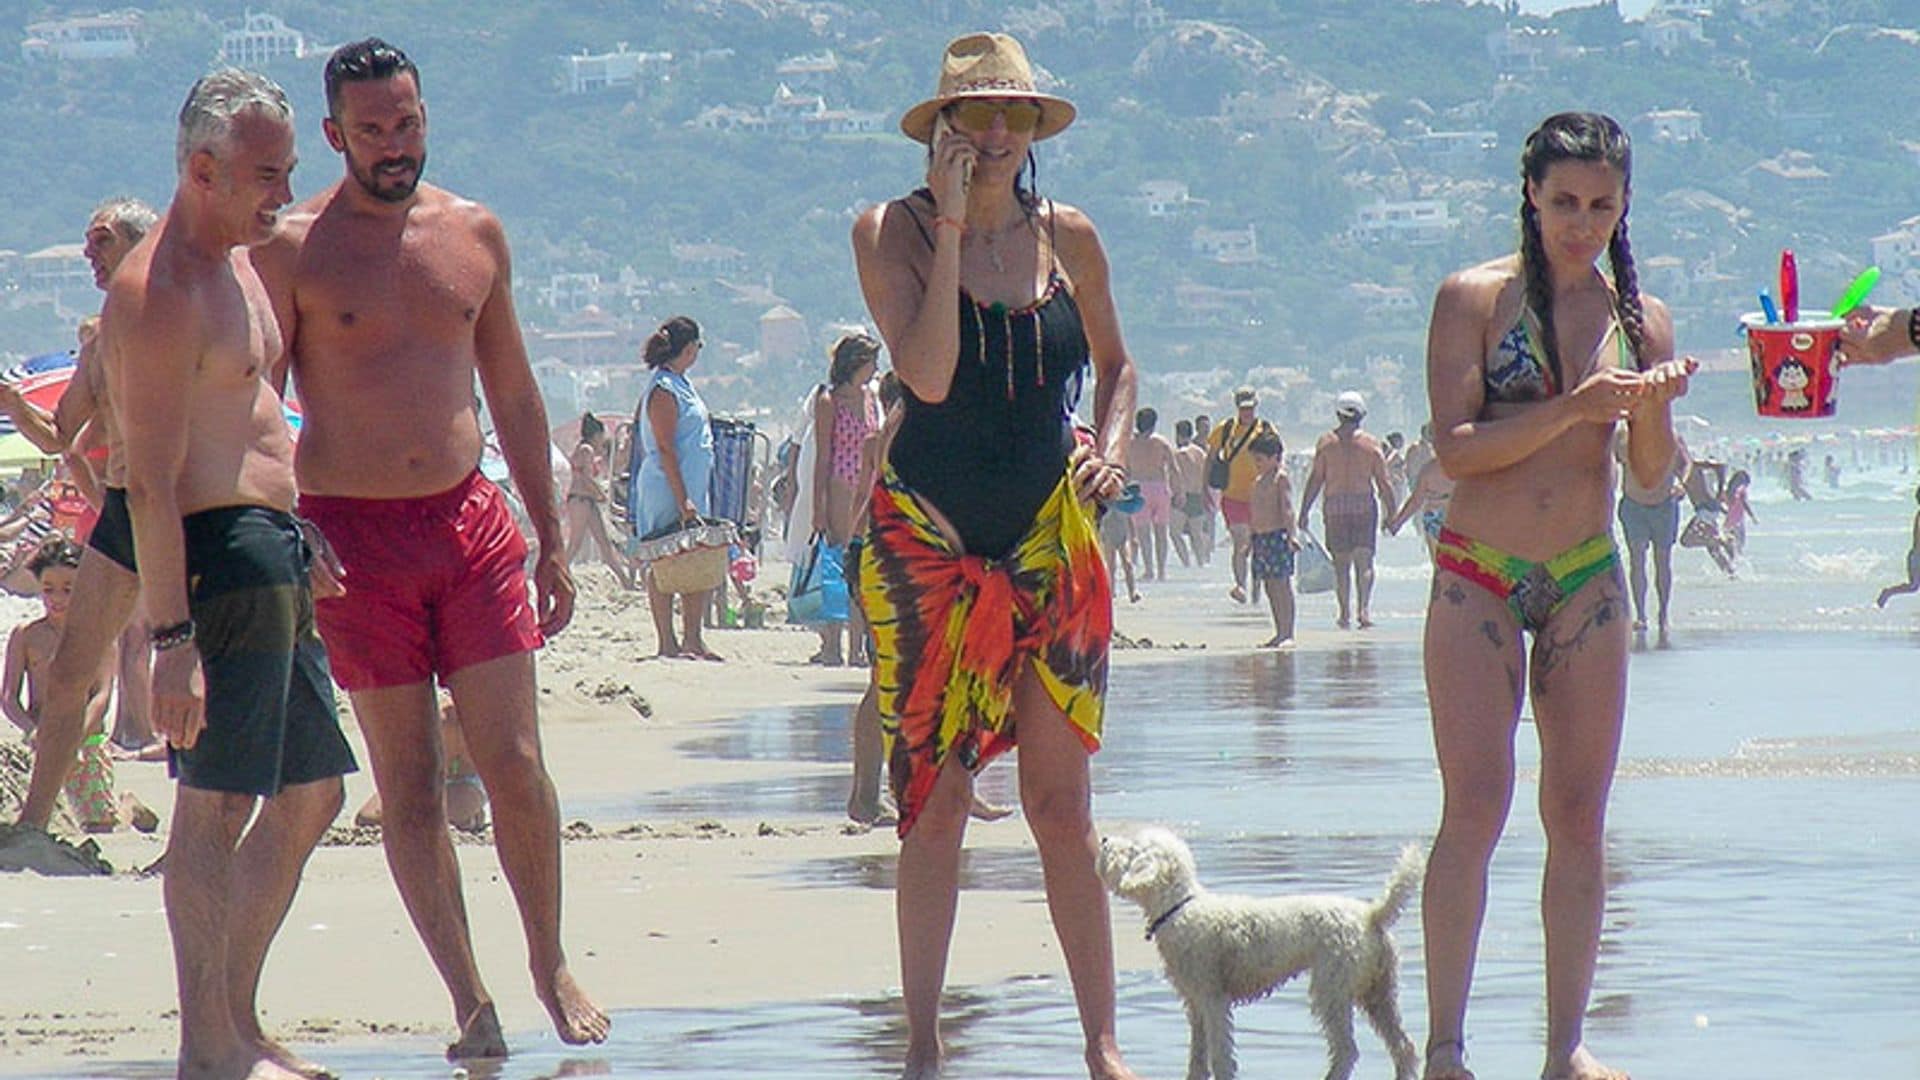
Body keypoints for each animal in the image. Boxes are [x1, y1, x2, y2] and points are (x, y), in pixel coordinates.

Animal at [1098, 822, 1428, 1076]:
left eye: (1132, 849)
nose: (1103, 840)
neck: (1179, 907)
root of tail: (1372, 915)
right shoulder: (1194, 1003)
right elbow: (1197, 1057)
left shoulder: (1213, 999)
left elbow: (1220, 1056)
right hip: (1378, 990)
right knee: (1403, 1047)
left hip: (1332, 988)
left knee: (1347, 1051)